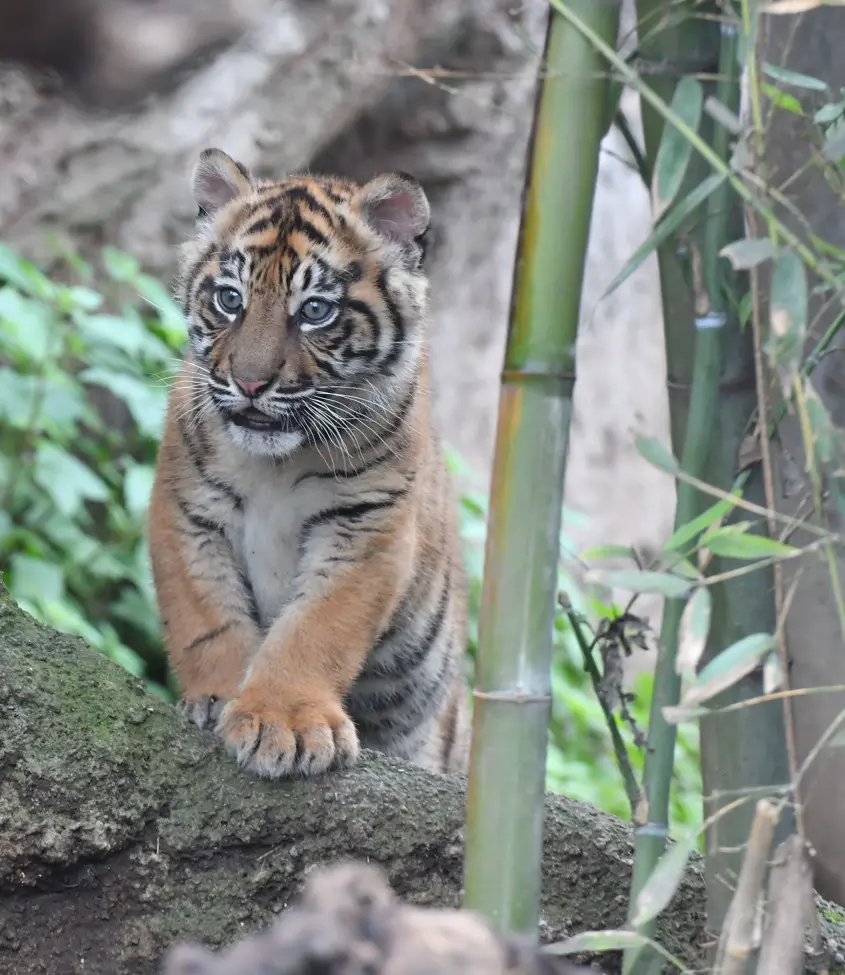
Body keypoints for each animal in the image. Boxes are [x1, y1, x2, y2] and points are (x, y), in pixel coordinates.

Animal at [148, 148, 471, 780]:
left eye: (315, 311)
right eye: (230, 300)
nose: (249, 383)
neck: (273, 463)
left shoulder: (369, 524)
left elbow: (317, 628)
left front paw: (285, 724)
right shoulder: (184, 508)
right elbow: (207, 617)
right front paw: (218, 698)